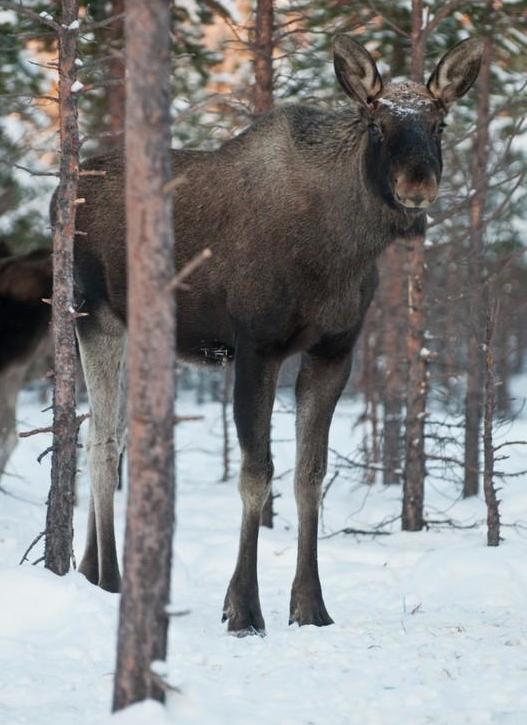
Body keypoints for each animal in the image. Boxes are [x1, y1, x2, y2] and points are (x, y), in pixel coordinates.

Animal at [68, 35, 484, 632]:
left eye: (440, 123)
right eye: (376, 124)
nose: (417, 183)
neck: (340, 253)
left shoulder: (334, 351)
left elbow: (310, 475)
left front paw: (309, 605)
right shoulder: (256, 346)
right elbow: (255, 474)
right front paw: (243, 607)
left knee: (108, 434)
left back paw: (87, 567)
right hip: (94, 315)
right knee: (103, 441)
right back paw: (109, 576)